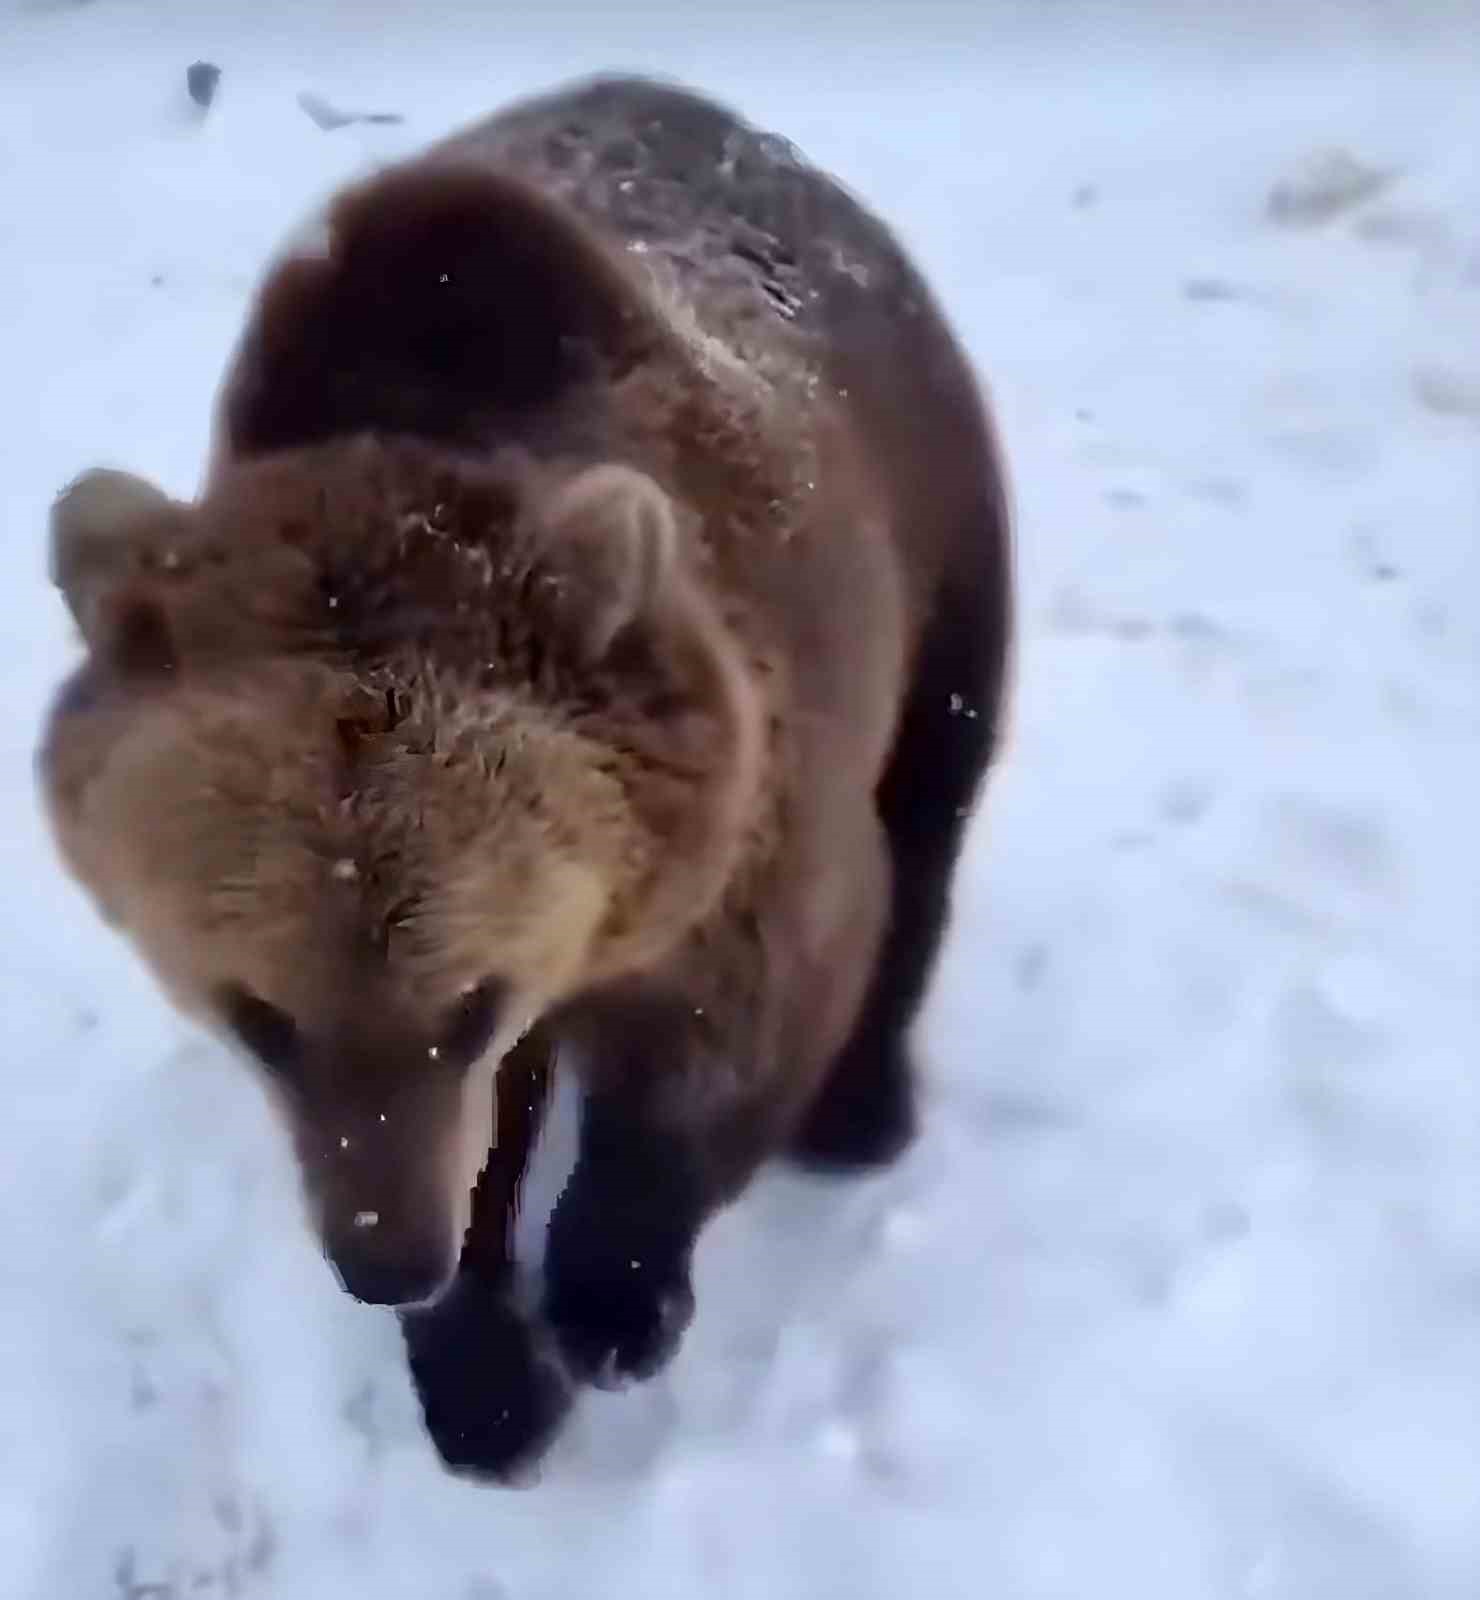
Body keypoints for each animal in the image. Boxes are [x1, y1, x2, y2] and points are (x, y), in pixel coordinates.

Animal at [34, 72, 1011, 1472]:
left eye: (469, 1005)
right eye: (256, 1016)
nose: (386, 1258)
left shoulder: (740, 811)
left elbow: (746, 1022)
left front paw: (611, 1296)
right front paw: (484, 1385)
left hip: (937, 523)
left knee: (933, 800)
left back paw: (862, 1108)